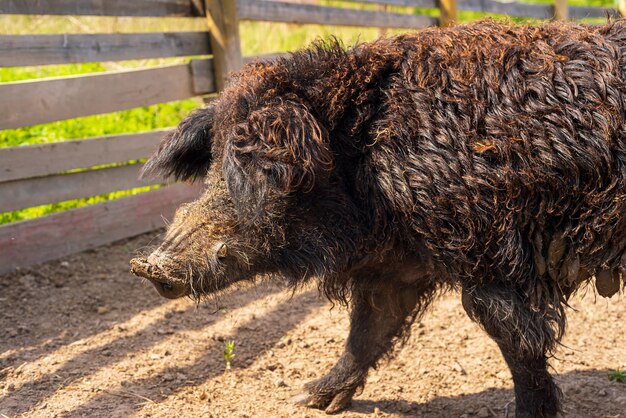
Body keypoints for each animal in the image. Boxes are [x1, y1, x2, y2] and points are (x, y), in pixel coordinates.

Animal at [129, 20, 620, 418]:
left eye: (253, 174)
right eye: (213, 164)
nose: (149, 266)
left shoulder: (492, 255)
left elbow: (518, 344)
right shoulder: (394, 266)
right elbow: (367, 329)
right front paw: (308, 398)